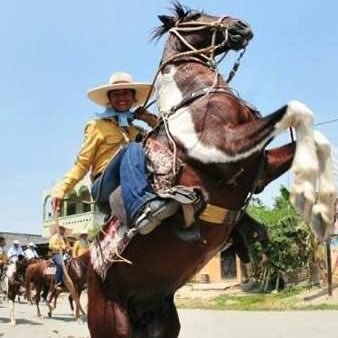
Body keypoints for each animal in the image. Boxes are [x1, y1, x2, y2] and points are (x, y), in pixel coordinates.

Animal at [86, 3, 336, 338]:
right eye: (193, 17)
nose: (241, 25)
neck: (193, 98)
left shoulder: (260, 168)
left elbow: (314, 135)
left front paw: (322, 204)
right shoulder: (224, 149)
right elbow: (297, 110)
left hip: (164, 323)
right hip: (112, 324)